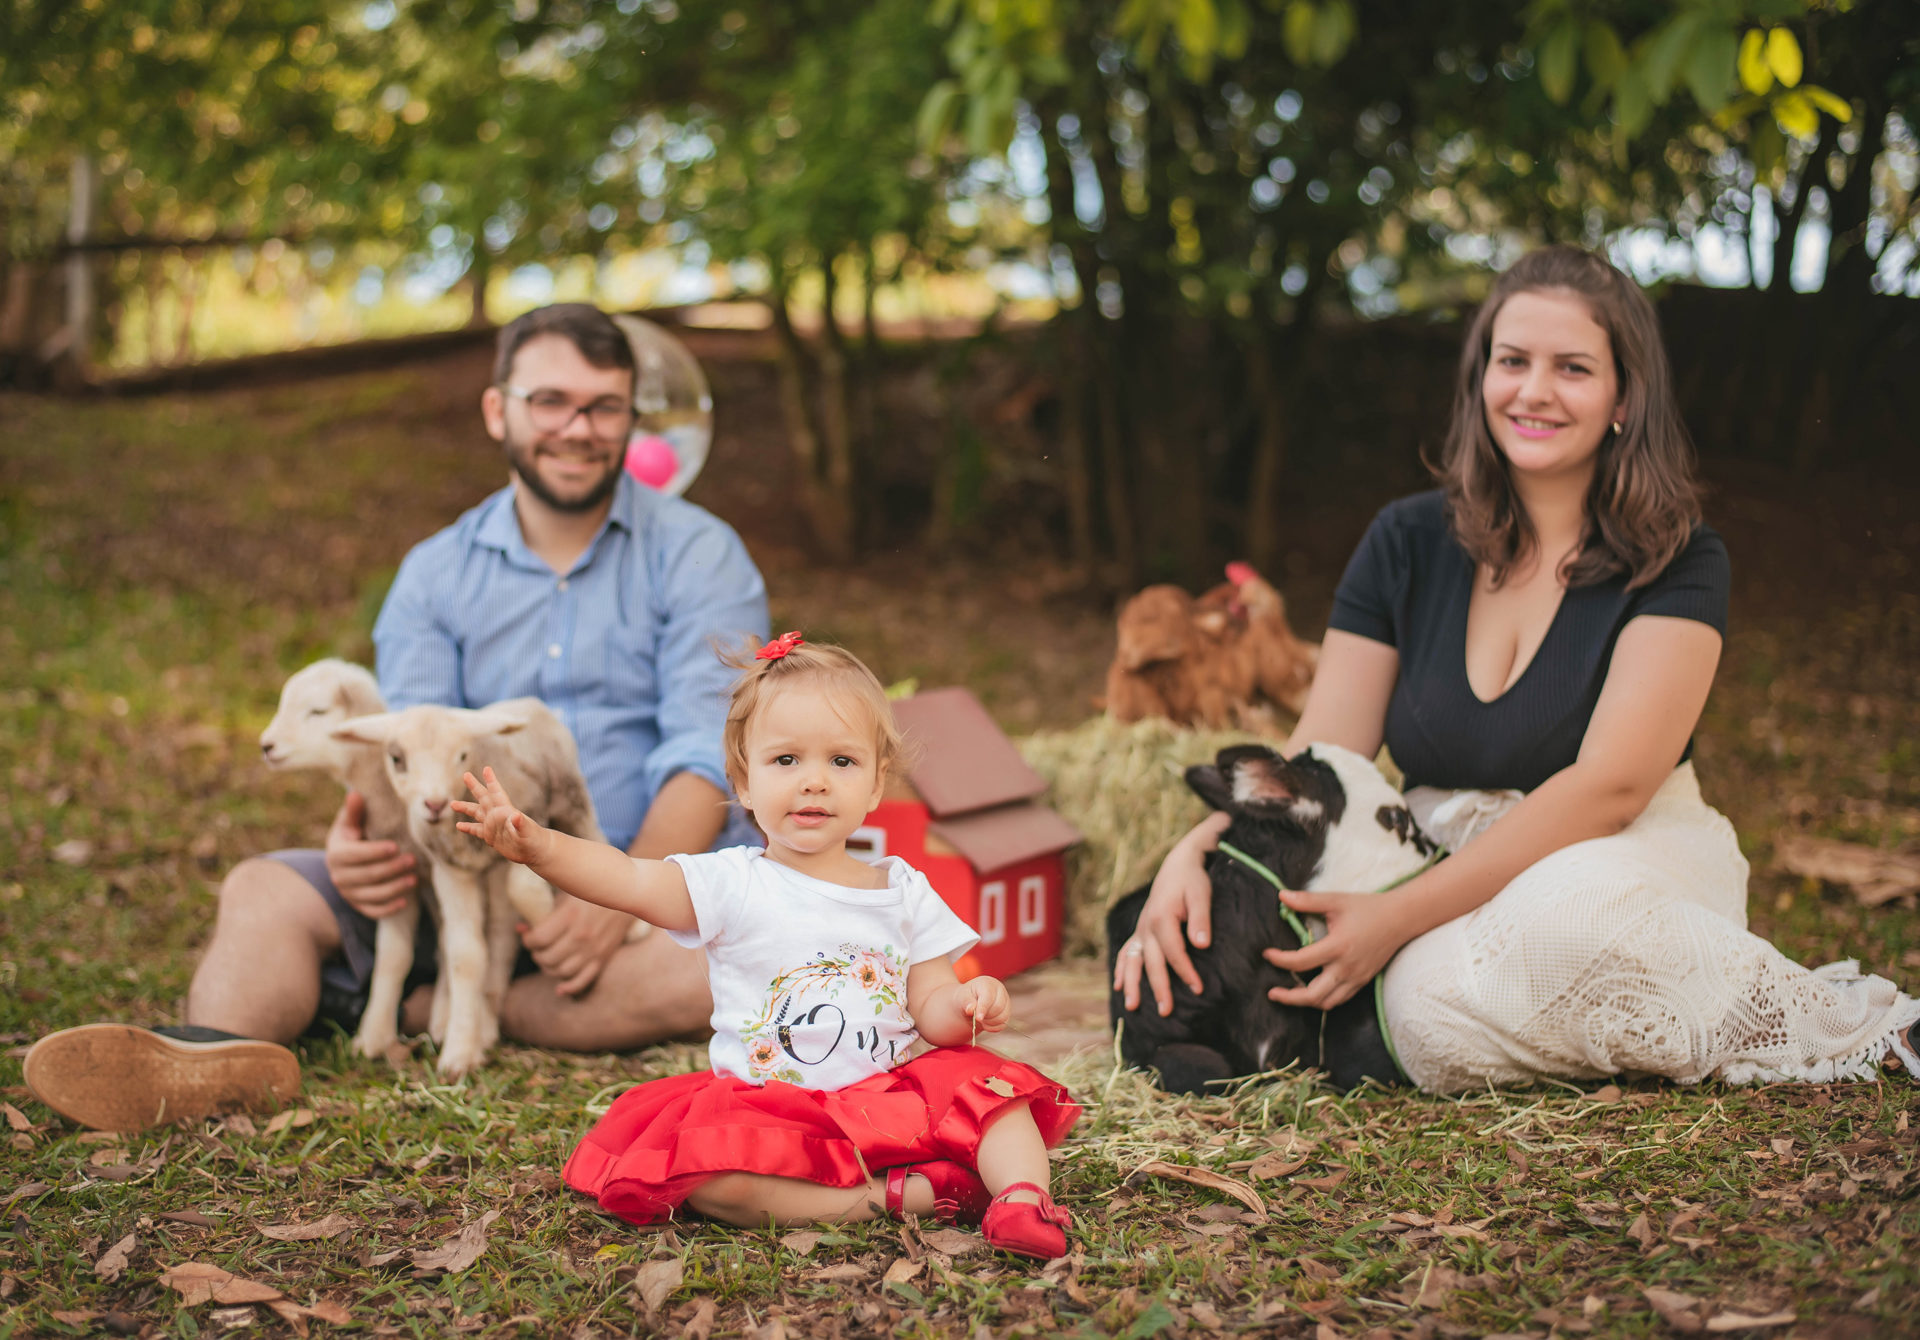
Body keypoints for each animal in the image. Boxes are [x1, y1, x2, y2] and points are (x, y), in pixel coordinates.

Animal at [331, 699, 614, 1078]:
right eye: (397, 758)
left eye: (462, 755)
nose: (434, 804)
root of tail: (530, 702)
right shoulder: (451, 870)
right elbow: (465, 954)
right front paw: (460, 1051)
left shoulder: (525, 825)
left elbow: (524, 889)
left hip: (569, 794)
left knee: (591, 833)